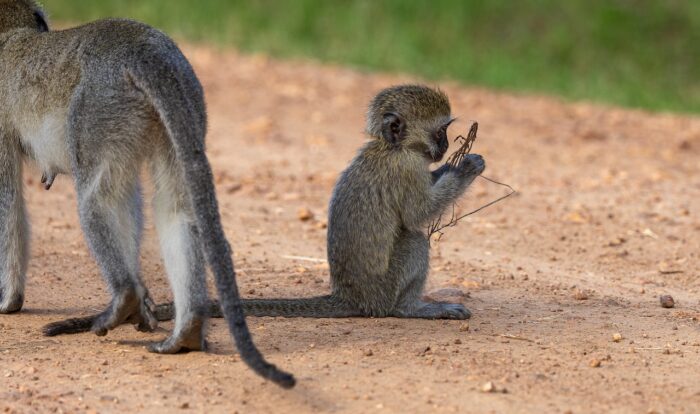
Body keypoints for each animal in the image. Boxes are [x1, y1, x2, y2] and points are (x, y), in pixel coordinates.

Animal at [0, 0, 294, 388]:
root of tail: (146, 49)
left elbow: (7, 201)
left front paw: (8, 303)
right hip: (181, 101)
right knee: (175, 209)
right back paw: (185, 330)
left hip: (99, 105)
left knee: (97, 201)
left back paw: (125, 297)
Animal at [42, 84, 484, 330]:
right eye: (440, 132)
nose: (446, 146)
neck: (389, 147)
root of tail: (350, 297)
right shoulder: (404, 169)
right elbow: (418, 214)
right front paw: (465, 168)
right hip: (383, 291)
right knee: (414, 240)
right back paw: (411, 309)